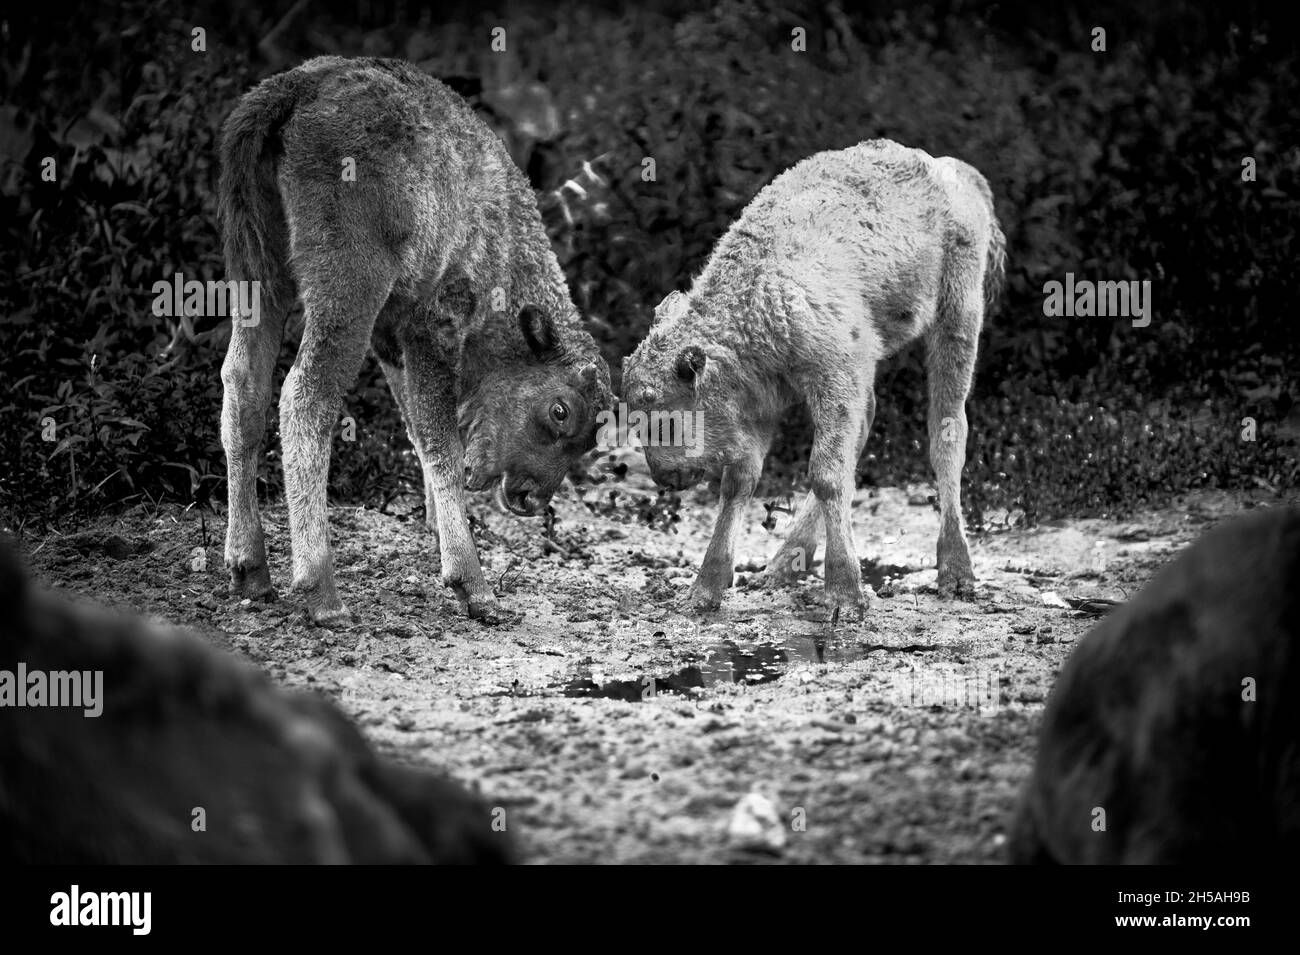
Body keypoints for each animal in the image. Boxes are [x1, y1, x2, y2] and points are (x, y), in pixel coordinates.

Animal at [217, 57, 608, 628]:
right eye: (561, 411)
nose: (529, 497)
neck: (502, 236)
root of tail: (296, 89)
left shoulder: (392, 339)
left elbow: (419, 436)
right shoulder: (432, 326)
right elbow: (442, 442)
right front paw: (472, 585)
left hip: (256, 272)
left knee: (243, 387)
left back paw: (250, 569)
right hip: (347, 290)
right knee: (305, 399)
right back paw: (323, 594)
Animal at [618, 141, 1003, 613]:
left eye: (668, 414)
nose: (666, 478)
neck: (758, 297)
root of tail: (957, 174)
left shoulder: (833, 378)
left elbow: (825, 474)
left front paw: (845, 595)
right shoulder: (762, 404)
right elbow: (740, 481)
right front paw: (705, 589)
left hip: (958, 318)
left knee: (947, 434)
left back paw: (956, 574)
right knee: (868, 426)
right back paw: (780, 568)